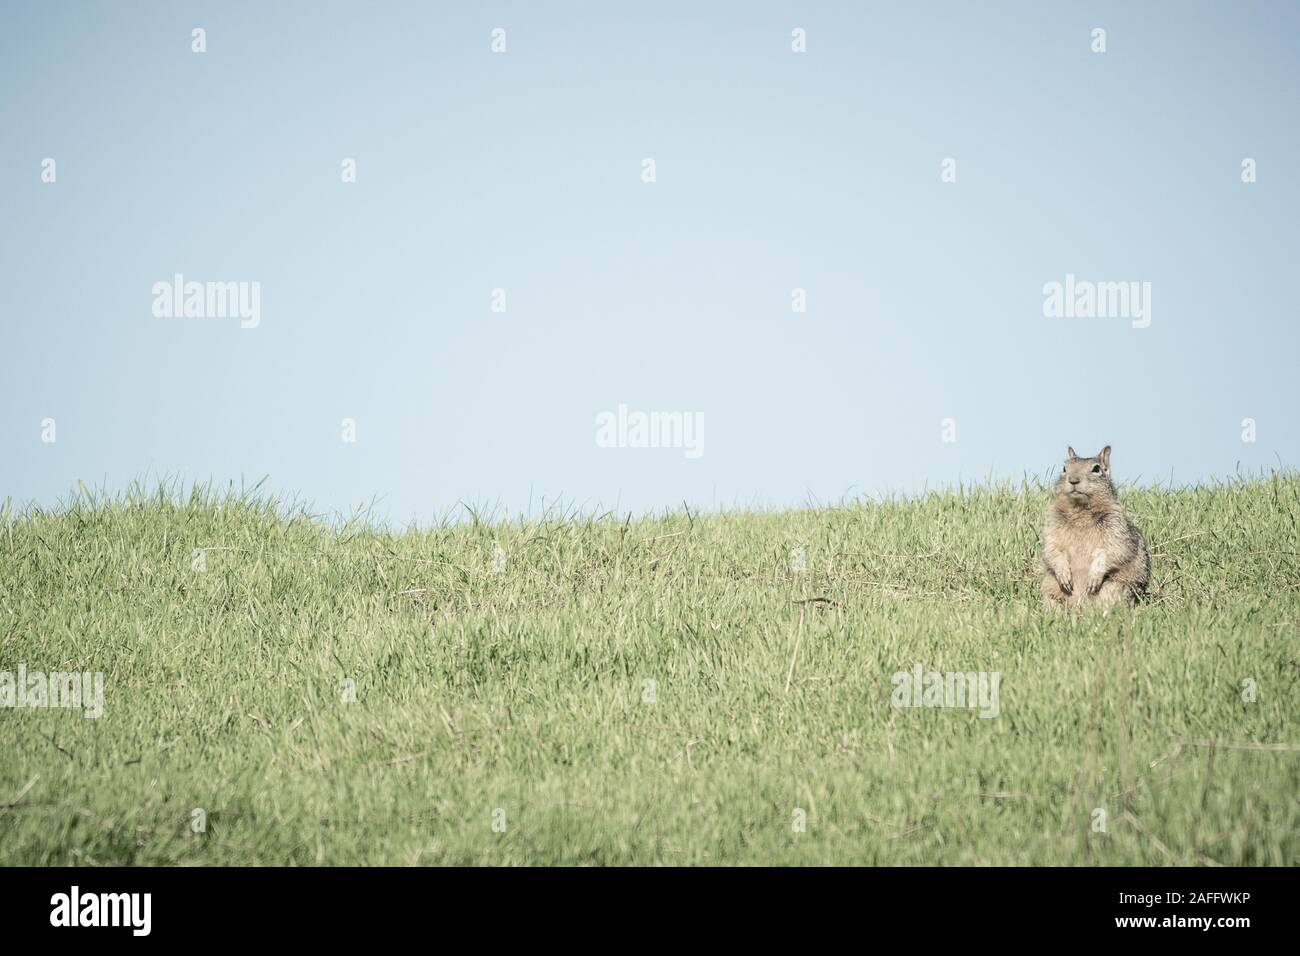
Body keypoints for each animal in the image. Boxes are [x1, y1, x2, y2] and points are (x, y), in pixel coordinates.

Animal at [1040, 447, 1154, 613]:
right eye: (1064, 468)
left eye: (1096, 469)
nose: (1073, 480)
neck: (1080, 510)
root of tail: (1079, 609)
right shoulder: (1052, 523)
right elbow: (1051, 549)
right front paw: (1063, 573)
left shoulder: (1116, 524)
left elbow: (1115, 549)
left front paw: (1094, 576)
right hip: (1051, 591)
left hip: (1113, 587)